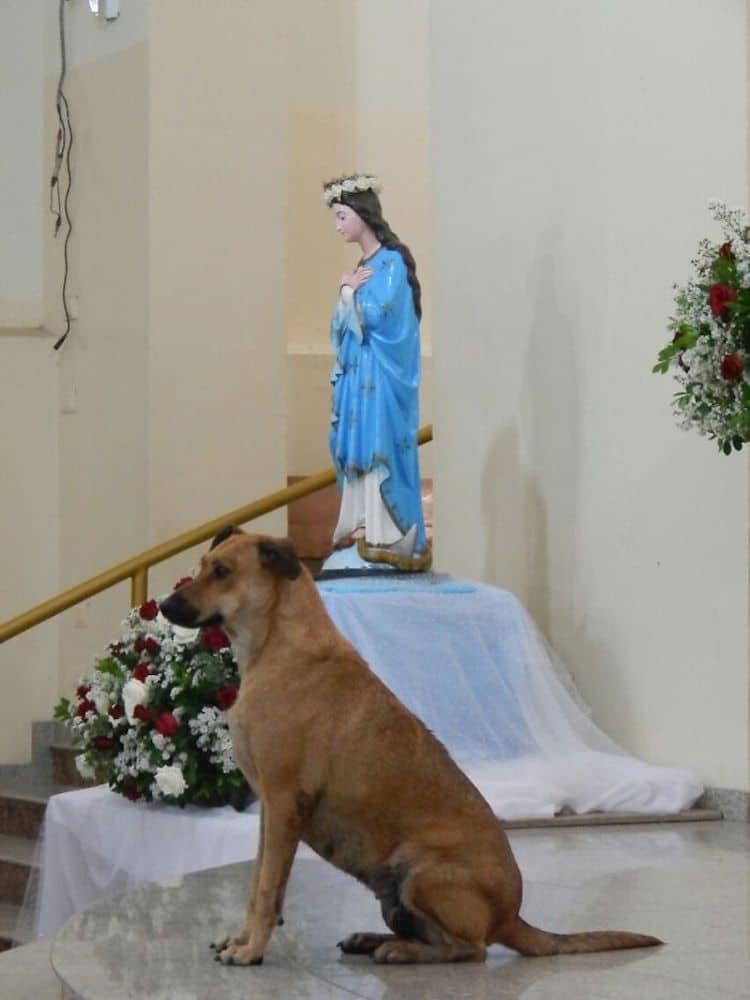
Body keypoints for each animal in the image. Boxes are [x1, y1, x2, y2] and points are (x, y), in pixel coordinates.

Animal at [160, 528, 664, 964]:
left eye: (222, 571)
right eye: (203, 566)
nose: (164, 605)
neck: (278, 648)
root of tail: (511, 918)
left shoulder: (284, 802)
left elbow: (267, 889)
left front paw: (251, 950)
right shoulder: (271, 810)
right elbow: (259, 882)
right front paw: (242, 938)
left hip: (419, 873)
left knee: (470, 949)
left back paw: (400, 952)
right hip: (394, 893)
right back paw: (373, 939)